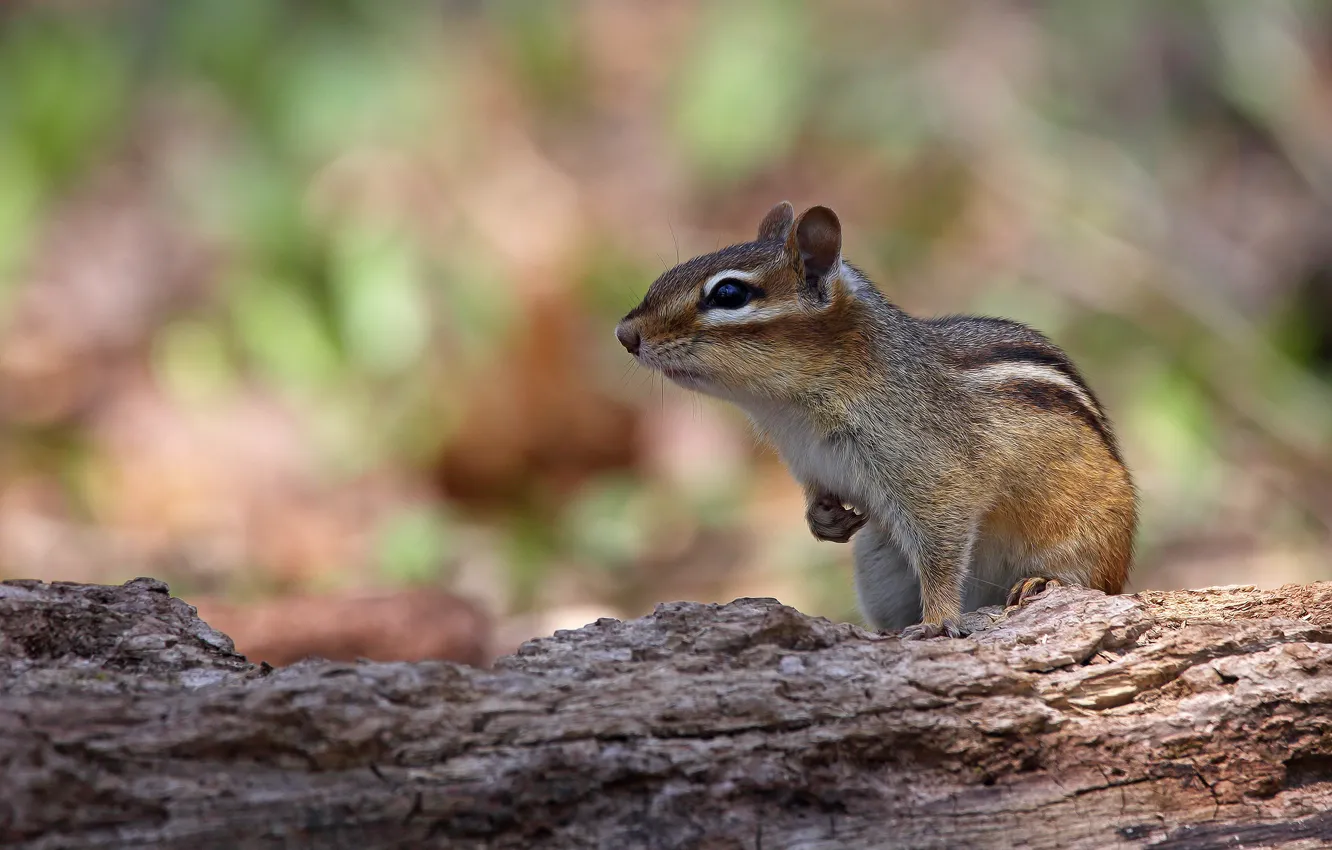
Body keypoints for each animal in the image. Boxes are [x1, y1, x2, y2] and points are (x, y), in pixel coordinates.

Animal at [614, 202, 1137, 639]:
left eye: (728, 293)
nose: (624, 333)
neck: (791, 411)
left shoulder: (935, 478)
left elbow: (942, 552)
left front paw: (939, 620)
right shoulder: (811, 465)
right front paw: (824, 519)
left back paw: (1039, 583)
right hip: (879, 568)